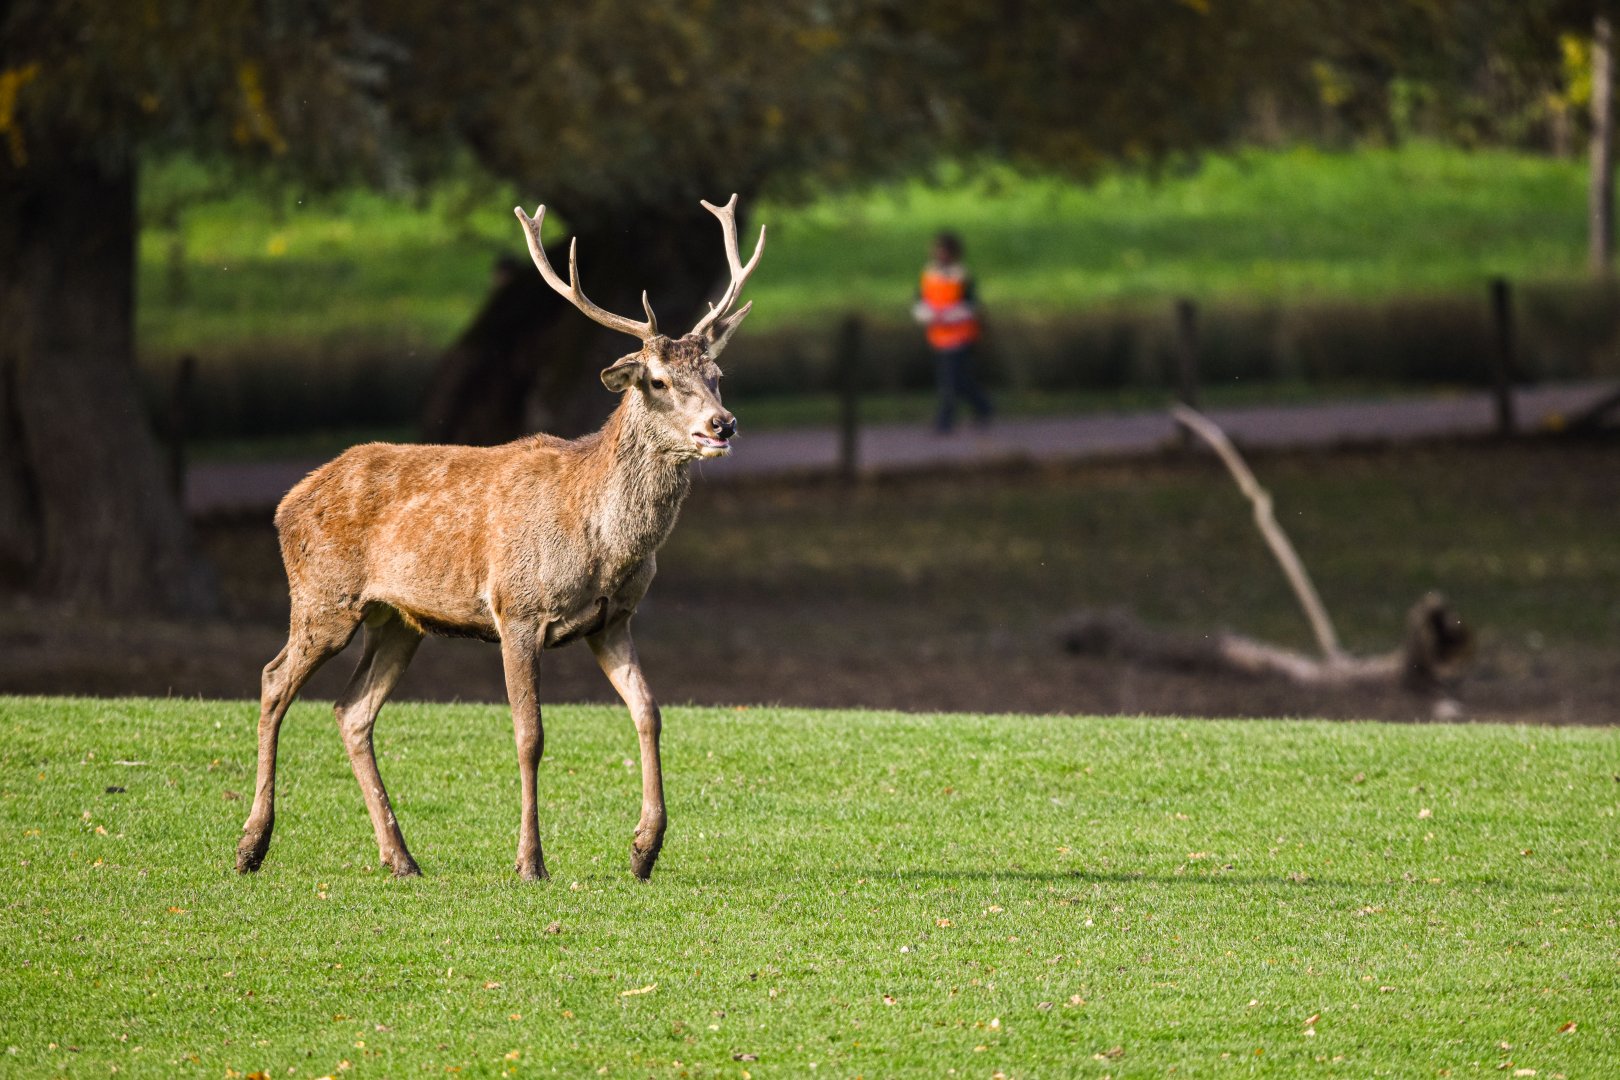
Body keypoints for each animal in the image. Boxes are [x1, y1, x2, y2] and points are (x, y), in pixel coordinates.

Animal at [234, 195, 764, 883]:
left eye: (717, 373)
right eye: (656, 381)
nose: (722, 424)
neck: (602, 543)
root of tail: (286, 503)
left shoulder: (614, 620)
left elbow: (649, 712)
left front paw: (644, 849)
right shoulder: (518, 609)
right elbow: (529, 734)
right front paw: (531, 861)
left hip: (398, 619)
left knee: (352, 711)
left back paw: (400, 857)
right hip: (323, 597)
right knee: (274, 681)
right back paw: (252, 845)